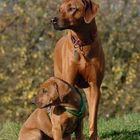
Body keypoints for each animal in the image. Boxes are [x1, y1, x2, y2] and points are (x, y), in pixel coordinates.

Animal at [51, 0, 105, 139]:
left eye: (72, 8)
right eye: (60, 9)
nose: (53, 20)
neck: (82, 44)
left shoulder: (95, 86)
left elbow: (93, 118)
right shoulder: (68, 84)